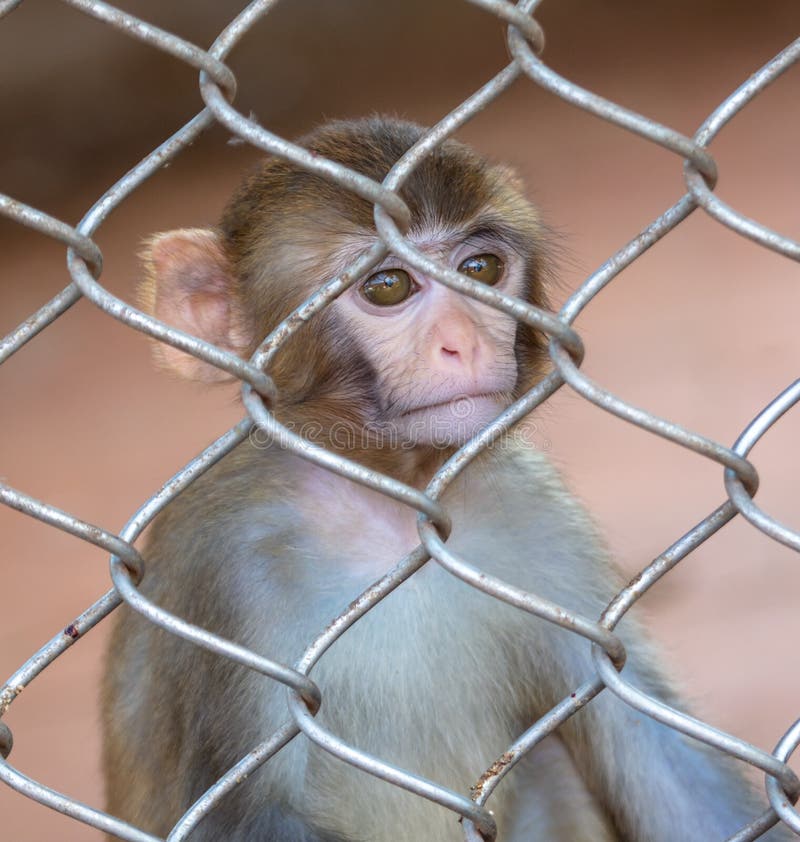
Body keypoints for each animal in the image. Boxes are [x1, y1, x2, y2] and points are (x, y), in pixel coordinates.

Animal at [101, 117, 794, 842]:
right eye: (387, 286)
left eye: (480, 269)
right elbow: (241, 818)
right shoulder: (223, 566)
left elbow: (662, 759)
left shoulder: (534, 510)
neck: (390, 507)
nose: (465, 341)